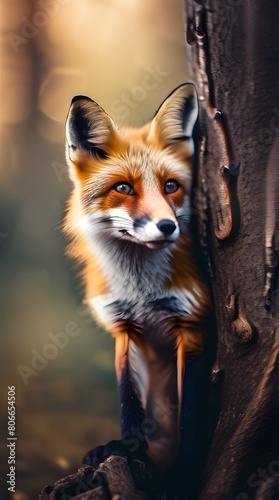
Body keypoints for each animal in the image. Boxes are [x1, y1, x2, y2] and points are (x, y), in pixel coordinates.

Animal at [63, 85, 212, 476]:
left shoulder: (191, 323)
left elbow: (190, 413)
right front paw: (128, 452)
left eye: (171, 186)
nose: (167, 226)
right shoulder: (124, 326)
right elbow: (127, 400)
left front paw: (181, 472)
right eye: (124, 189)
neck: (140, 289)